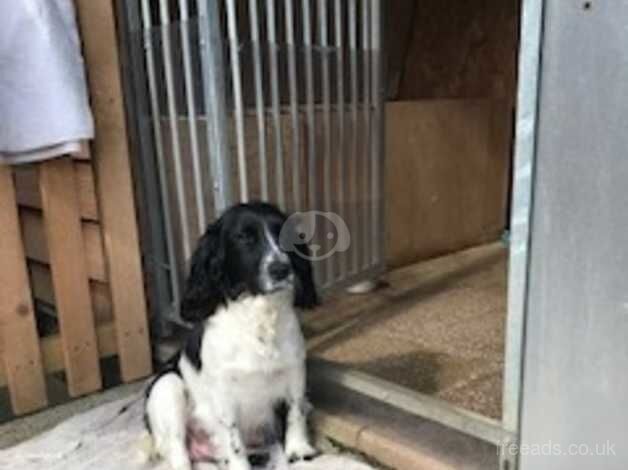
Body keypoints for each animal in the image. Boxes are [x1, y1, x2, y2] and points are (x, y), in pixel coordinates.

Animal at [143, 202, 318, 470]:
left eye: (284, 235)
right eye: (244, 237)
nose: (281, 269)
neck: (259, 318)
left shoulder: (295, 371)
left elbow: (295, 410)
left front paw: (298, 449)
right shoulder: (224, 392)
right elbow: (233, 438)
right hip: (168, 387)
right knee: (178, 450)